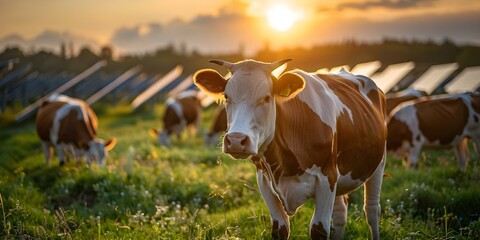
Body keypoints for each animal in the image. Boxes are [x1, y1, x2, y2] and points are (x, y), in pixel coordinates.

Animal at [193, 59, 388, 239]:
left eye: (266, 97)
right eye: (226, 97)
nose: (235, 140)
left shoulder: (327, 177)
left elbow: (319, 229)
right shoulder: (264, 180)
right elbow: (280, 230)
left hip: (378, 163)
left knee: (372, 211)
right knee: (341, 214)